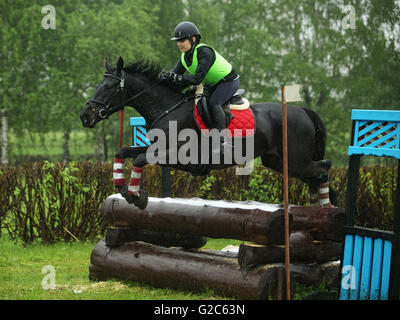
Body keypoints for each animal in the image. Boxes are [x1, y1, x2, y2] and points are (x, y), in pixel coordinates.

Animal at [79, 56, 332, 209]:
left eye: (109, 87)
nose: (85, 116)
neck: (167, 109)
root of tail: (302, 110)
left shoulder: (179, 155)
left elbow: (140, 158)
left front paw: (136, 196)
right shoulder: (157, 148)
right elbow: (123, 151)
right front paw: (122, 188)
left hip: (296, 160)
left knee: (324, 168)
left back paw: (325, 207)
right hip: (278, 161)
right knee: (317, 172)